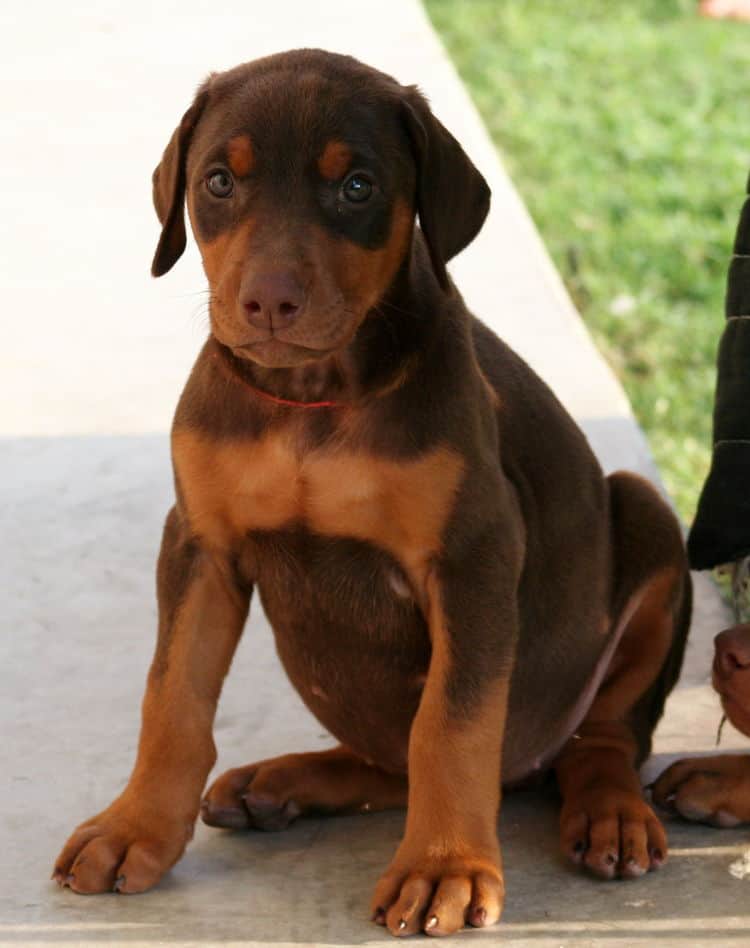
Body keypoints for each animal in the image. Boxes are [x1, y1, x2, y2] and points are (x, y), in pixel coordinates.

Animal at [51, 50, 692, 932]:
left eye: (356, 187)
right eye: (218, 181)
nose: (269, 301)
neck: (311, 399)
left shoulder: (473, 556)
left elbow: (451, 725)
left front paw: (444, 868)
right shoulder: (199, 544)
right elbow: (172, 695)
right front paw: (133, 827)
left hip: (645, 520)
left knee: (604, 736)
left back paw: (611, 813)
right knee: (392, 760)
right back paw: (281, 784)